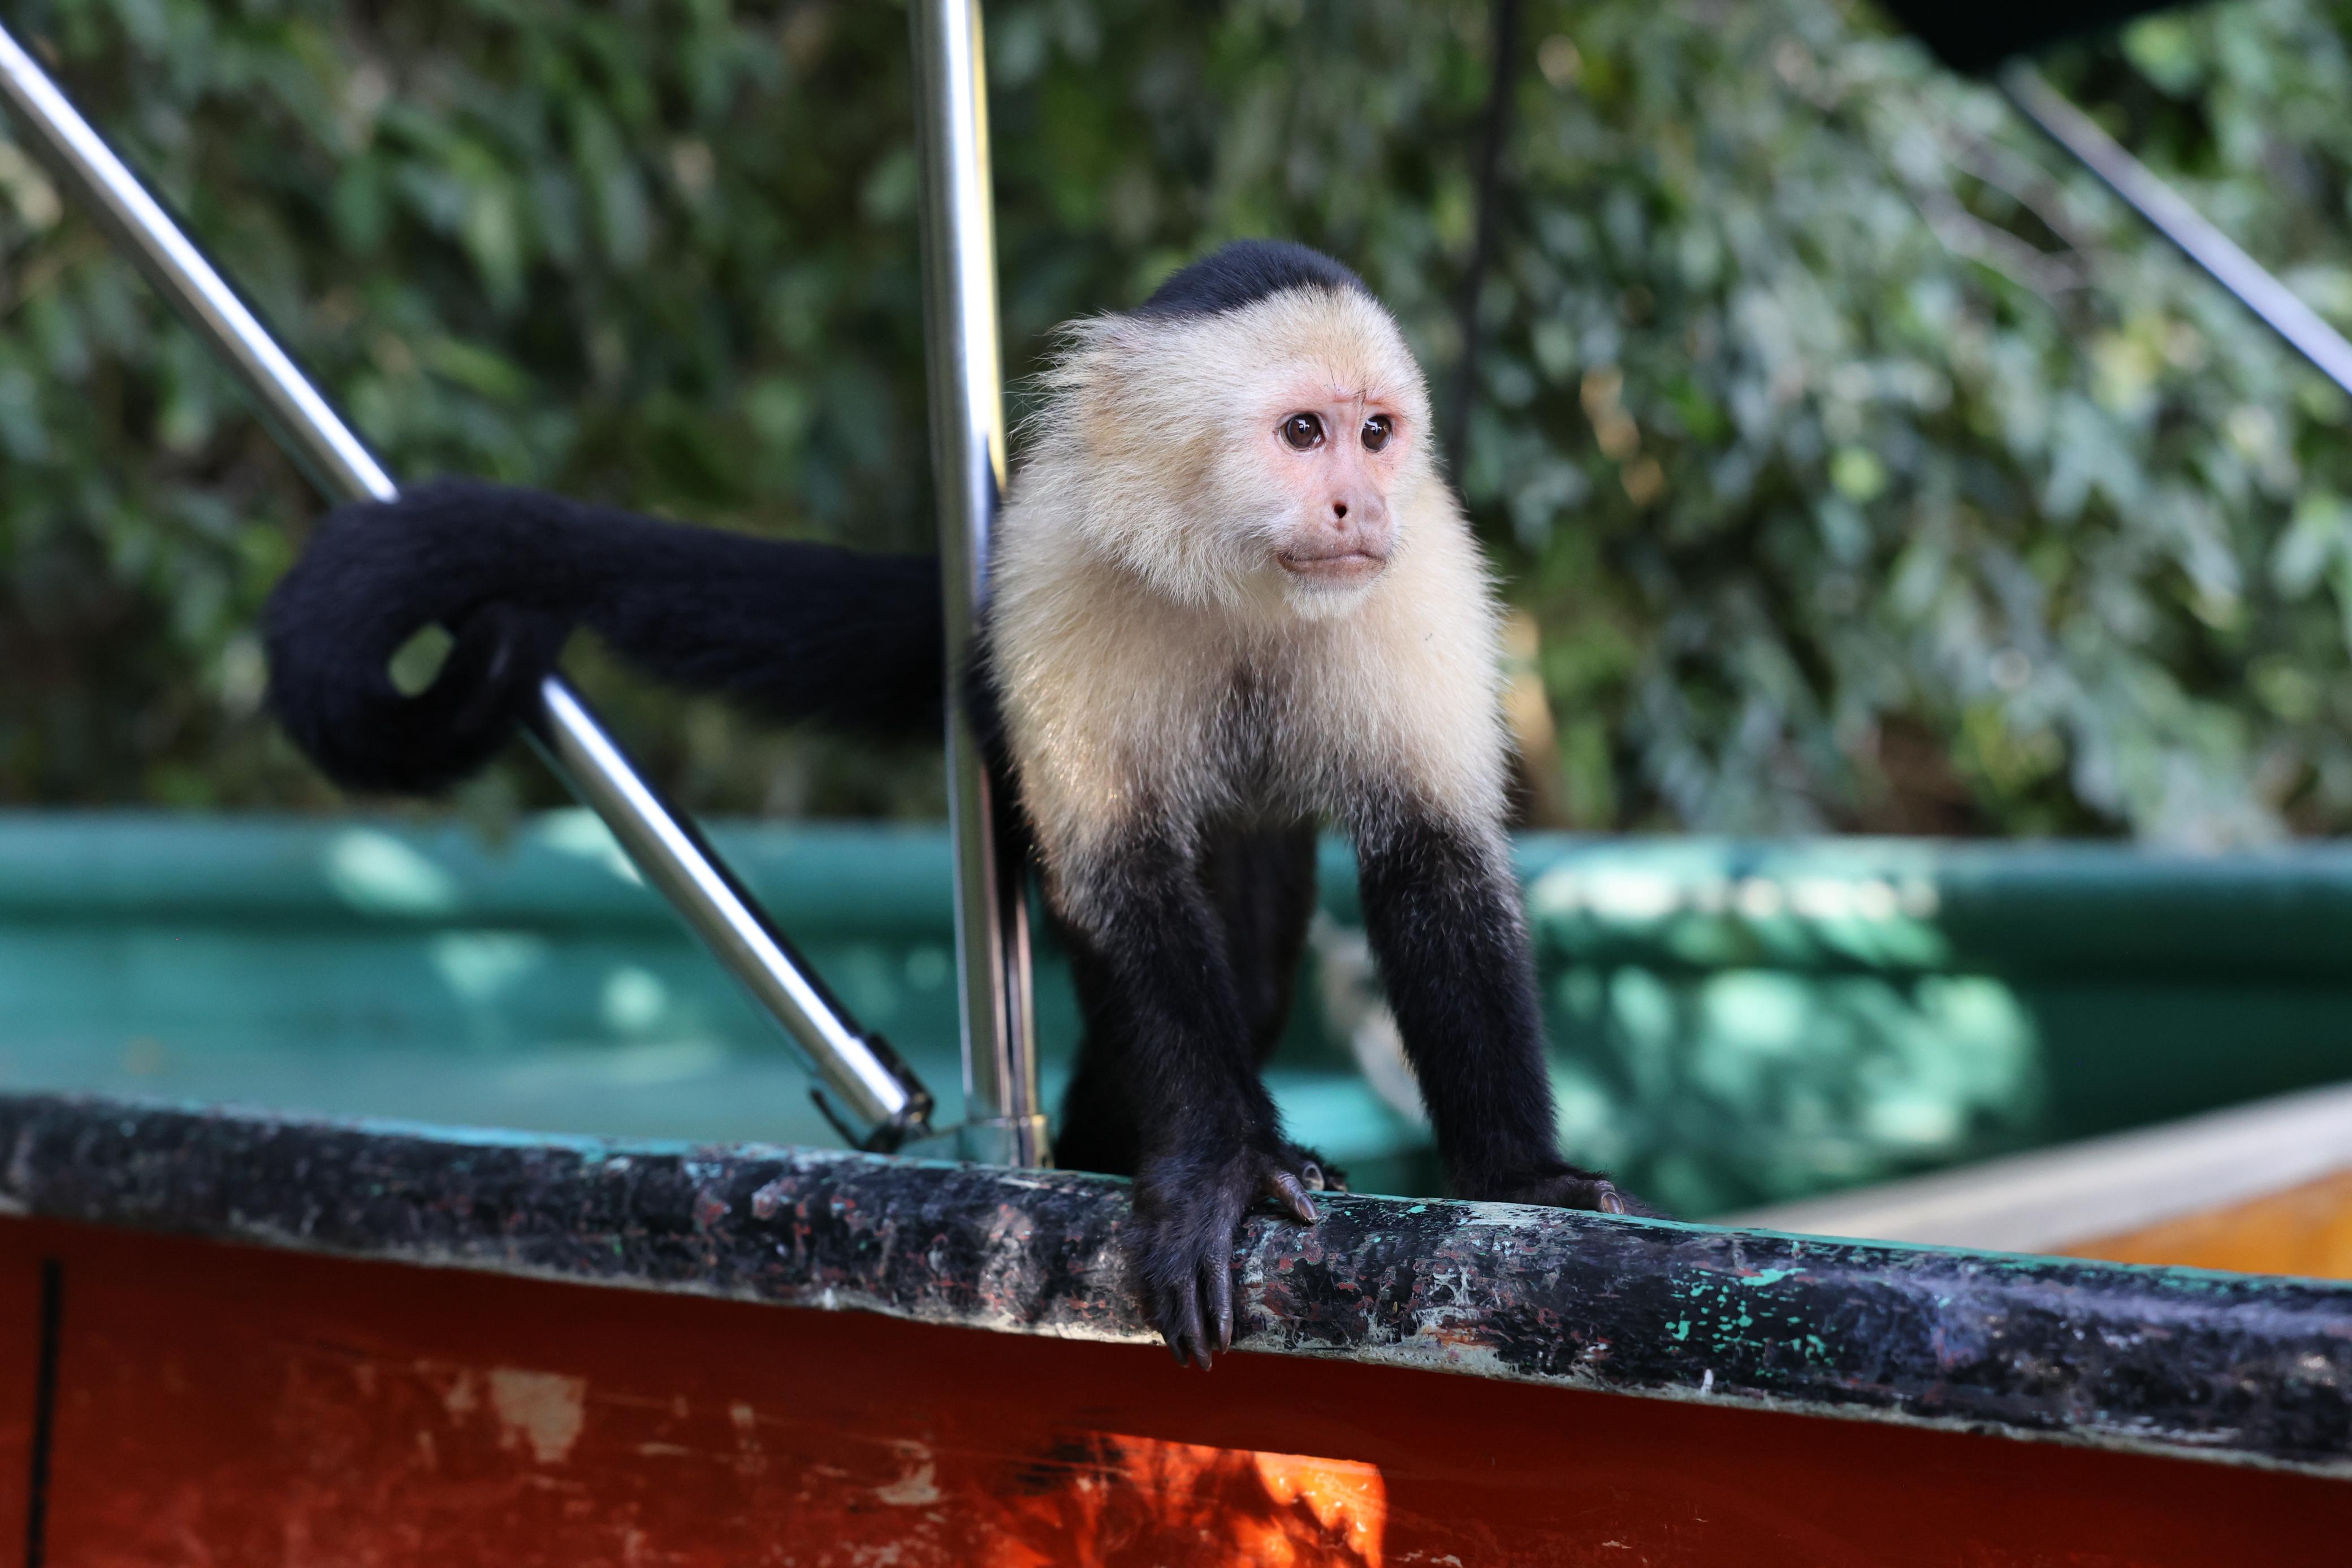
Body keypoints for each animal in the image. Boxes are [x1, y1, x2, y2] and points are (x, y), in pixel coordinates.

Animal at [264, 240, 1647, 1369]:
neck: (1238, 580)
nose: (1361, 500)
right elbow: (1119, 879)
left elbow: (1433, 856)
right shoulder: (1055, 572)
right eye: (1304, 434)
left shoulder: (1423, 576)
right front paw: (1224, 1165)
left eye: (1379, 433)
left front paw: (1520, 1177)